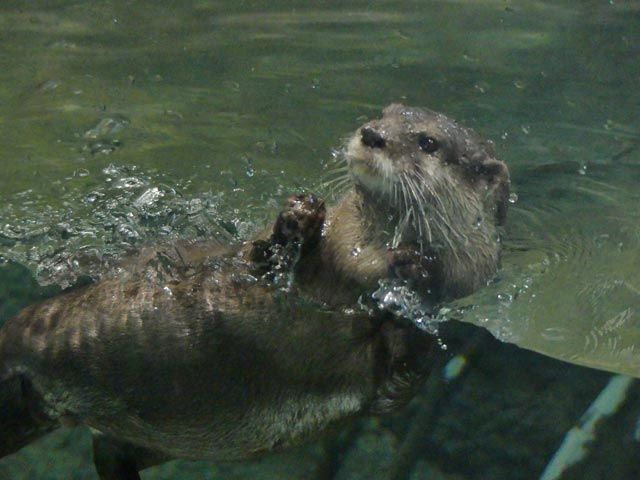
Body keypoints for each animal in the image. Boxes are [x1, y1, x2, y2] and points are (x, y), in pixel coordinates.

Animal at [0, 103, 510, 478]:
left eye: (427, 142)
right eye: (385, 112)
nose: (372, 134)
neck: (354, 265)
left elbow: (398, 381)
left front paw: (414, 275)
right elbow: (253, 258)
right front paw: (298, 219)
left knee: (108, 453)